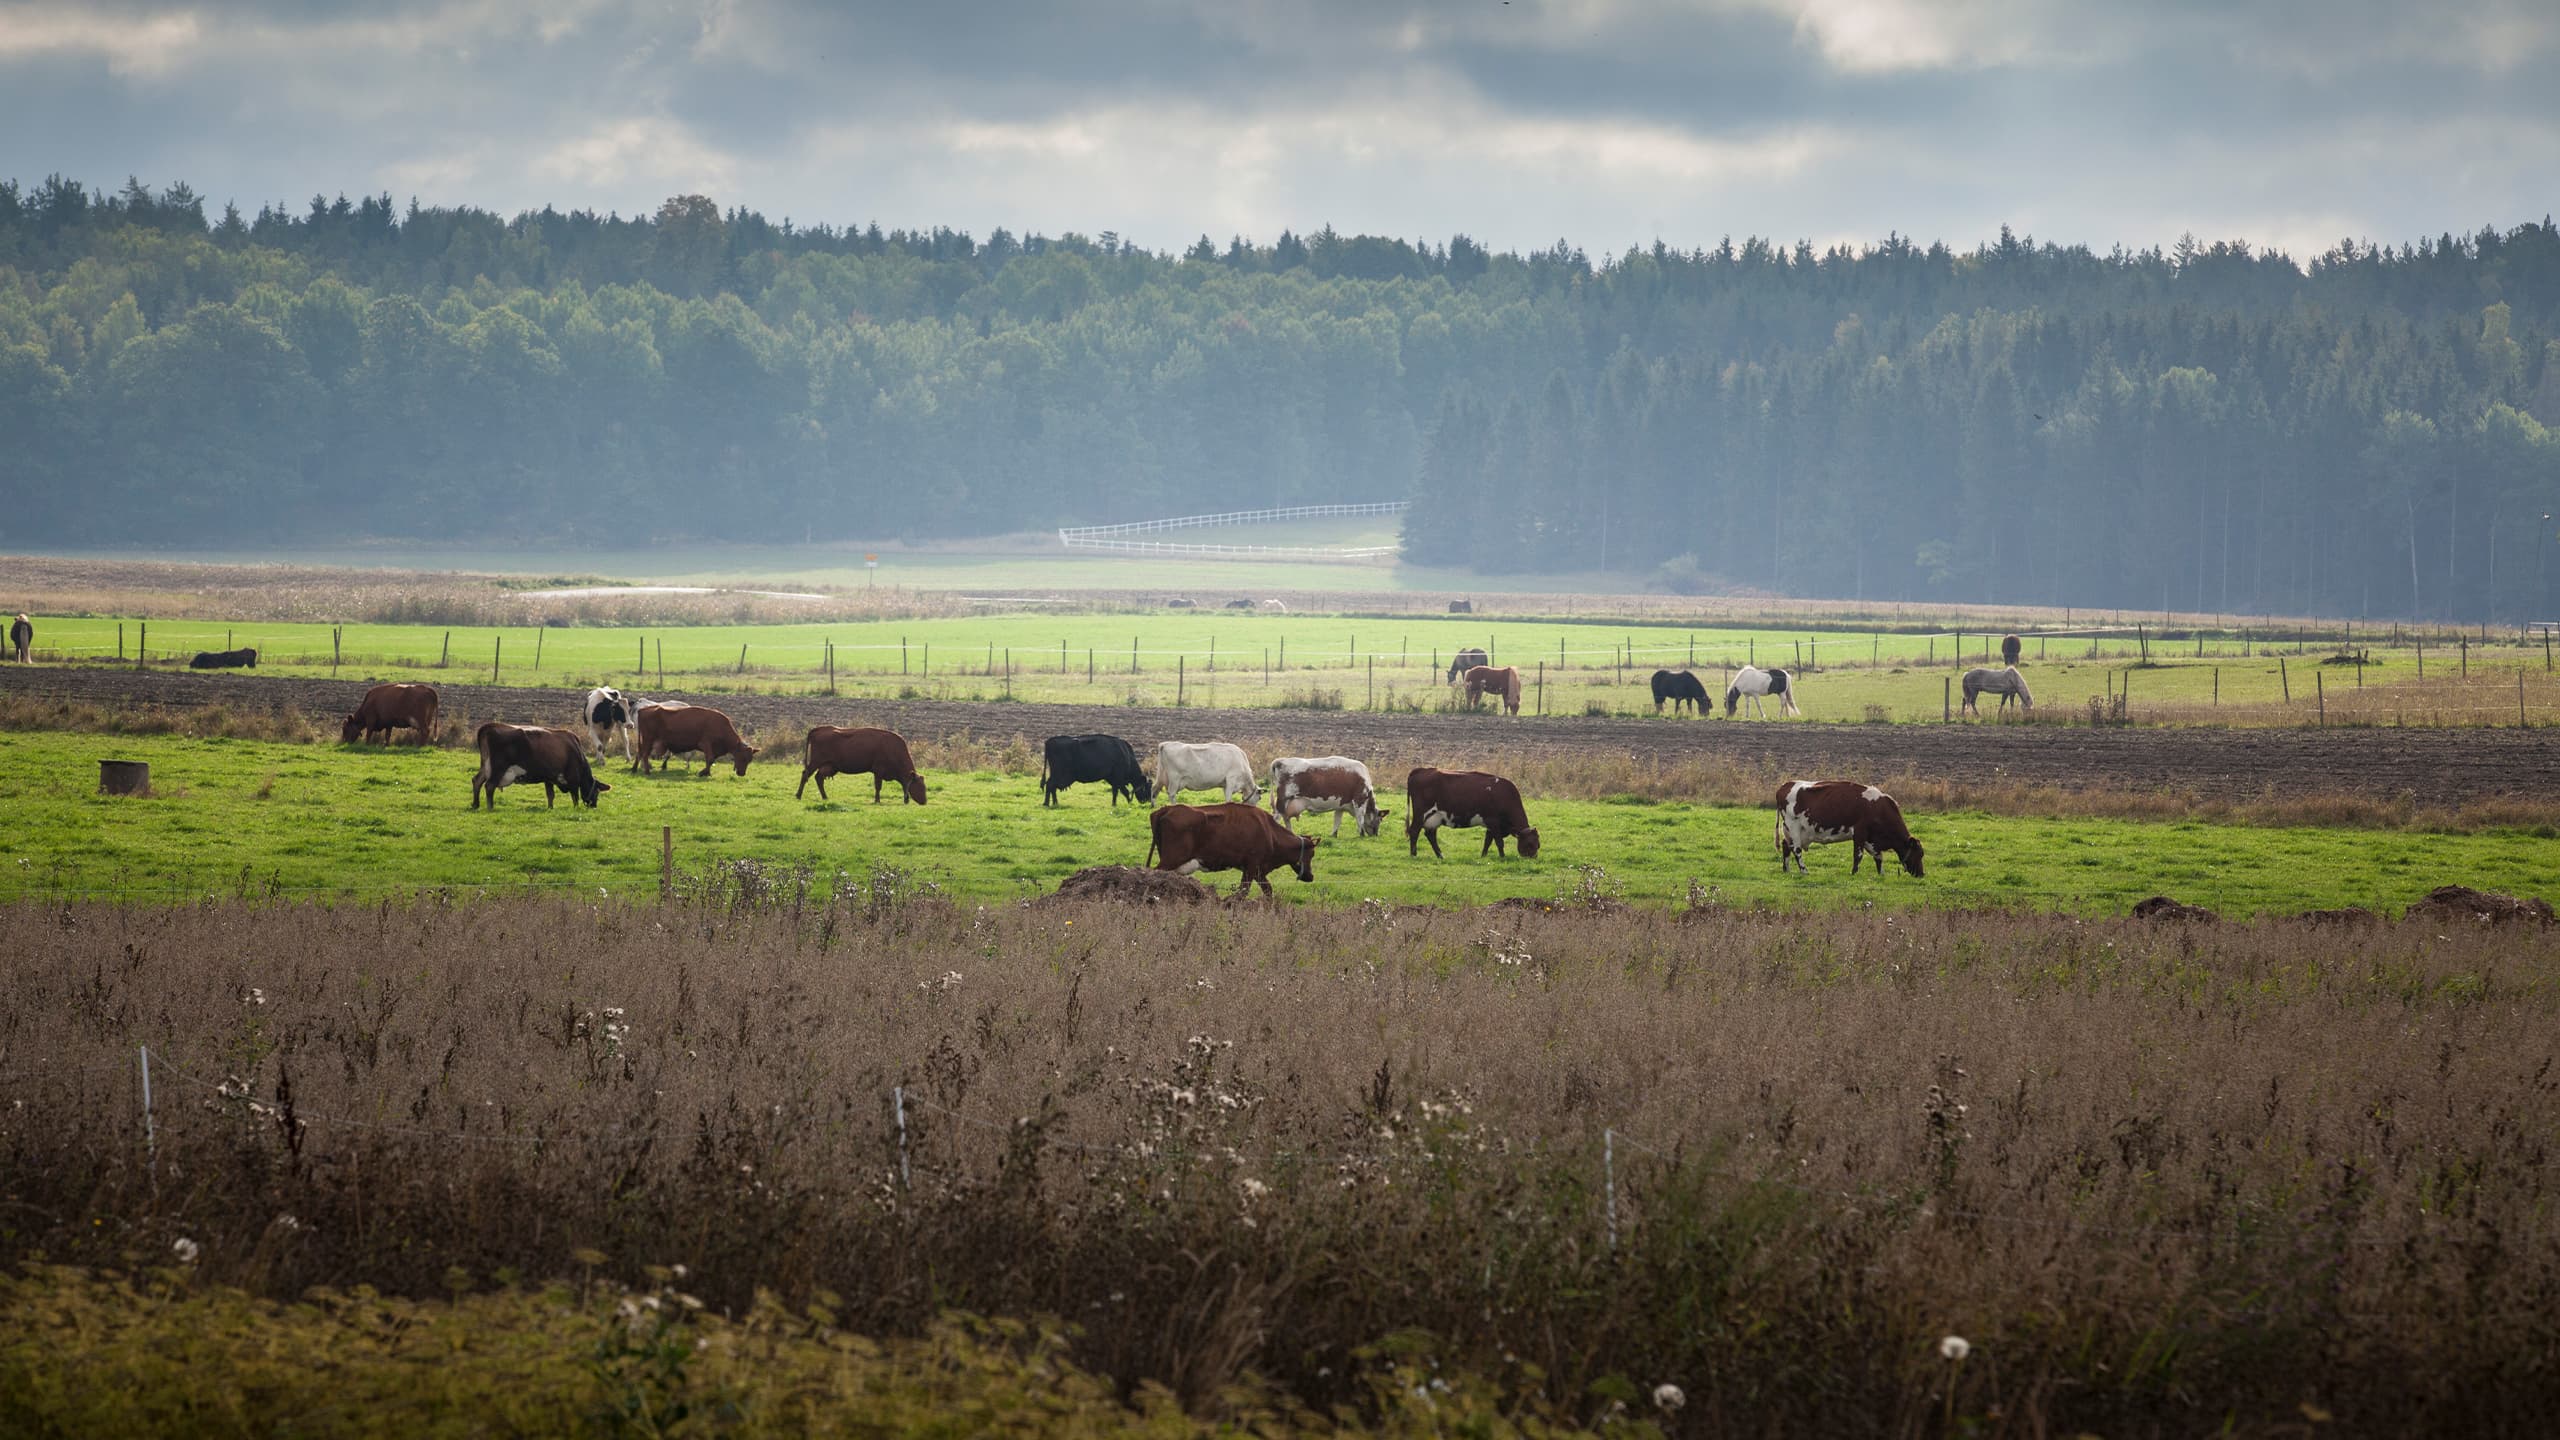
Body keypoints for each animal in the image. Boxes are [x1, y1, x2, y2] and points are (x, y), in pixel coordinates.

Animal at [471, 717, 609, 809]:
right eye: (597, 791)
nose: (594, 806)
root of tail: (490, 726)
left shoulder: (549, 777)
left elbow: (550, 795)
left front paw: (550, 808)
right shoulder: (573, 778)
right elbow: (575, 796)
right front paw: (576, 808)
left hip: (486, 765)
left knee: (477, 780)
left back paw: (475, 804)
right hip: (498, 767)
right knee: (489, 785)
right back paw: (490, 807)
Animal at [798, 722, 931, 799]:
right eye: (919, 787)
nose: (924, 801)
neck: (892, 747)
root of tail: (818, 729)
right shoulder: (878, 770)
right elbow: (878, 786)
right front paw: (877, 800)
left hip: (828, 766)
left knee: (818, 778)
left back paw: (825, 797)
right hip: (816, 762)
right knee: (805, 775)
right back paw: (798, 795)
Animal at [1157, 794, 1331, 896]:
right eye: (1311, 854)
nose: (1310, 876)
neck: (1269, 832)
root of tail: (1167, 809)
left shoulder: (1257, 870)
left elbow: (1267, 890)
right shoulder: (1252, 865)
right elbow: (1243, 892)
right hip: (1170, 860)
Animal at [1402, 768, 1536, 855]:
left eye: (1537, 845)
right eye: (1530, 844)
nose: (1533, 858)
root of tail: (1421, 770)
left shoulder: (1491, 825)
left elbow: (1487, 841)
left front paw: (1483, 856)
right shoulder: (1493, 821)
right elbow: (1499, 842)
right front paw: (1502, 857)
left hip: (1435, 817)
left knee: (1430, 835)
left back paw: (1441, 856)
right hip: (1421, 814)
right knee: (1414, 831)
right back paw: (1414, 854)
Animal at [1781, 773, 1925, 876]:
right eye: (1919, 854)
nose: (1922, 874)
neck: (1879, 808)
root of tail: (1785, 785)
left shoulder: (1870, 839)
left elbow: (1878, 856)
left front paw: (1881, 874)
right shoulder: (1860, 832)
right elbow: (1858, 855)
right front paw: (1854, 873)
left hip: (1794, 831)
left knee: (1785, 845)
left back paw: (1786, 869)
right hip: (1793, 827)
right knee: (1796, 850)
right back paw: (1804, 871)